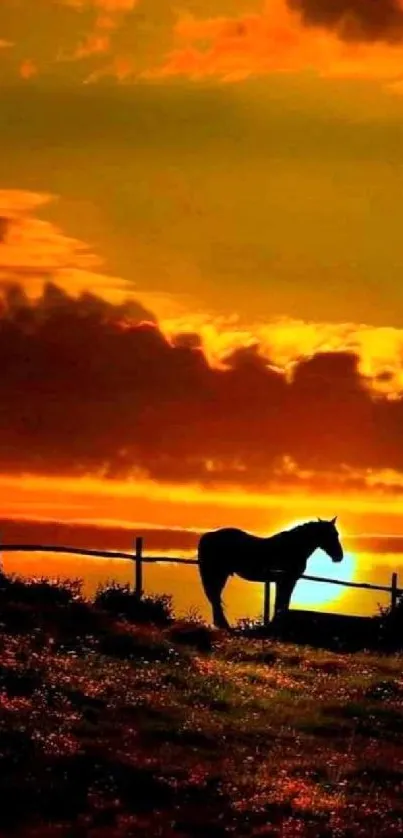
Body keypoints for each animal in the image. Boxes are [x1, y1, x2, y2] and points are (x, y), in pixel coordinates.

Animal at [199, 520, 344, 632]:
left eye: (336, 534)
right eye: (331, 535)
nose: (339, 557)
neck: (292, 547)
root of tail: (208, 536)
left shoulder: (282, 581)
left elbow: (281, 602)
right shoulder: (288, 580)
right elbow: (282, 602)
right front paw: (276, 624)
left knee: (215, 597)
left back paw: (222, 625)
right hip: (218, 573)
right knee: (215, 597)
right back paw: (224, 625)